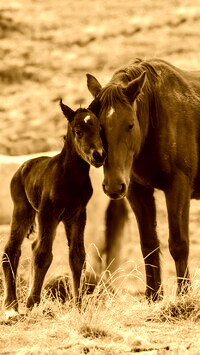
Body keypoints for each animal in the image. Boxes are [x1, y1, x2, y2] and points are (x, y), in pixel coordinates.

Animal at [1, 100, 108, 320]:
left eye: (100, 129)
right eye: (77, 131)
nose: (99, 155)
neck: (71, 178)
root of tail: (24, 166)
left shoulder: (77, 215)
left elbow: (77, 256)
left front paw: (78, 306)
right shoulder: (48, 212)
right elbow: (43, 253)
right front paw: (32, 303)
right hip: (23, 209)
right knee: (12, 249)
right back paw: (11, 306)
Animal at [86, 58, 200, 300]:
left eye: (130, 124)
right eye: (98, 128)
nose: (112, 186)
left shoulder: (178, 187)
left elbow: (179, 243)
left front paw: (183, 296)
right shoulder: (136, 191)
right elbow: (148, 244)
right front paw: (153, 296)